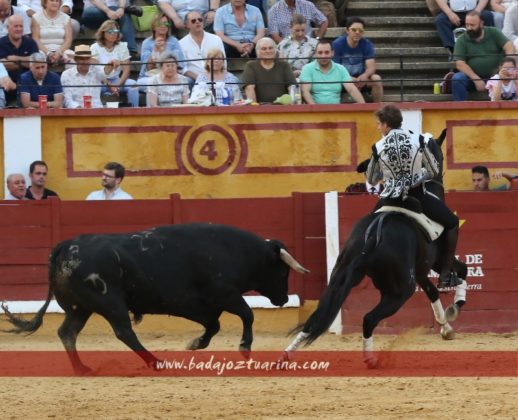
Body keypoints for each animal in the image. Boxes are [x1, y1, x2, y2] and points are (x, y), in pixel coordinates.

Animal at [2, 223, 310, 374]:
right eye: (283, 271)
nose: (284, 298)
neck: (233, 250)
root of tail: (64, 246)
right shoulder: (225, 295)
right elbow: (247, 314)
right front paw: (244, 347)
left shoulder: (196, 305)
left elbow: (214, 325)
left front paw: (195, 343)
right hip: (110, 302)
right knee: (123, 332)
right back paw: (155, 362)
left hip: (81, 307)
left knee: (67, 332)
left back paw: (82, 368)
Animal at [286, 130, 470, 366]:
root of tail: (372, 236)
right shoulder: (437, 263)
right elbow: (461, 271)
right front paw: (454, 308)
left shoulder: (421, 272)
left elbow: (433, 293)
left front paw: (446, 327)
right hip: (401, 289)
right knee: (368, 318)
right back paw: (371, 359)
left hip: (342, 276)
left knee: (316, 318)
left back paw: (287, 354)